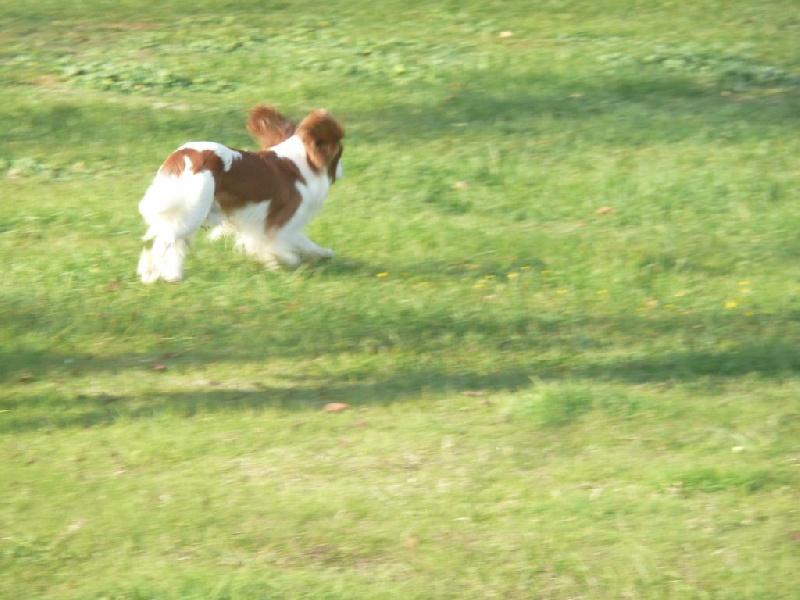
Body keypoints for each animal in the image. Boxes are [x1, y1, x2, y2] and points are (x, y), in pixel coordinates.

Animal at [138, 105, 344, 284]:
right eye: (339, 154)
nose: (343, 171)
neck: (299, 162)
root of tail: (183, 155)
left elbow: (304, 242)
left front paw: (324, 253)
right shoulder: (281, 222)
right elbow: (282, 245)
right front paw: (284, 260)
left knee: (174, 244)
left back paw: (173, 276)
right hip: (191, 212)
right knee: (163, 241)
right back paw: (151, 272)